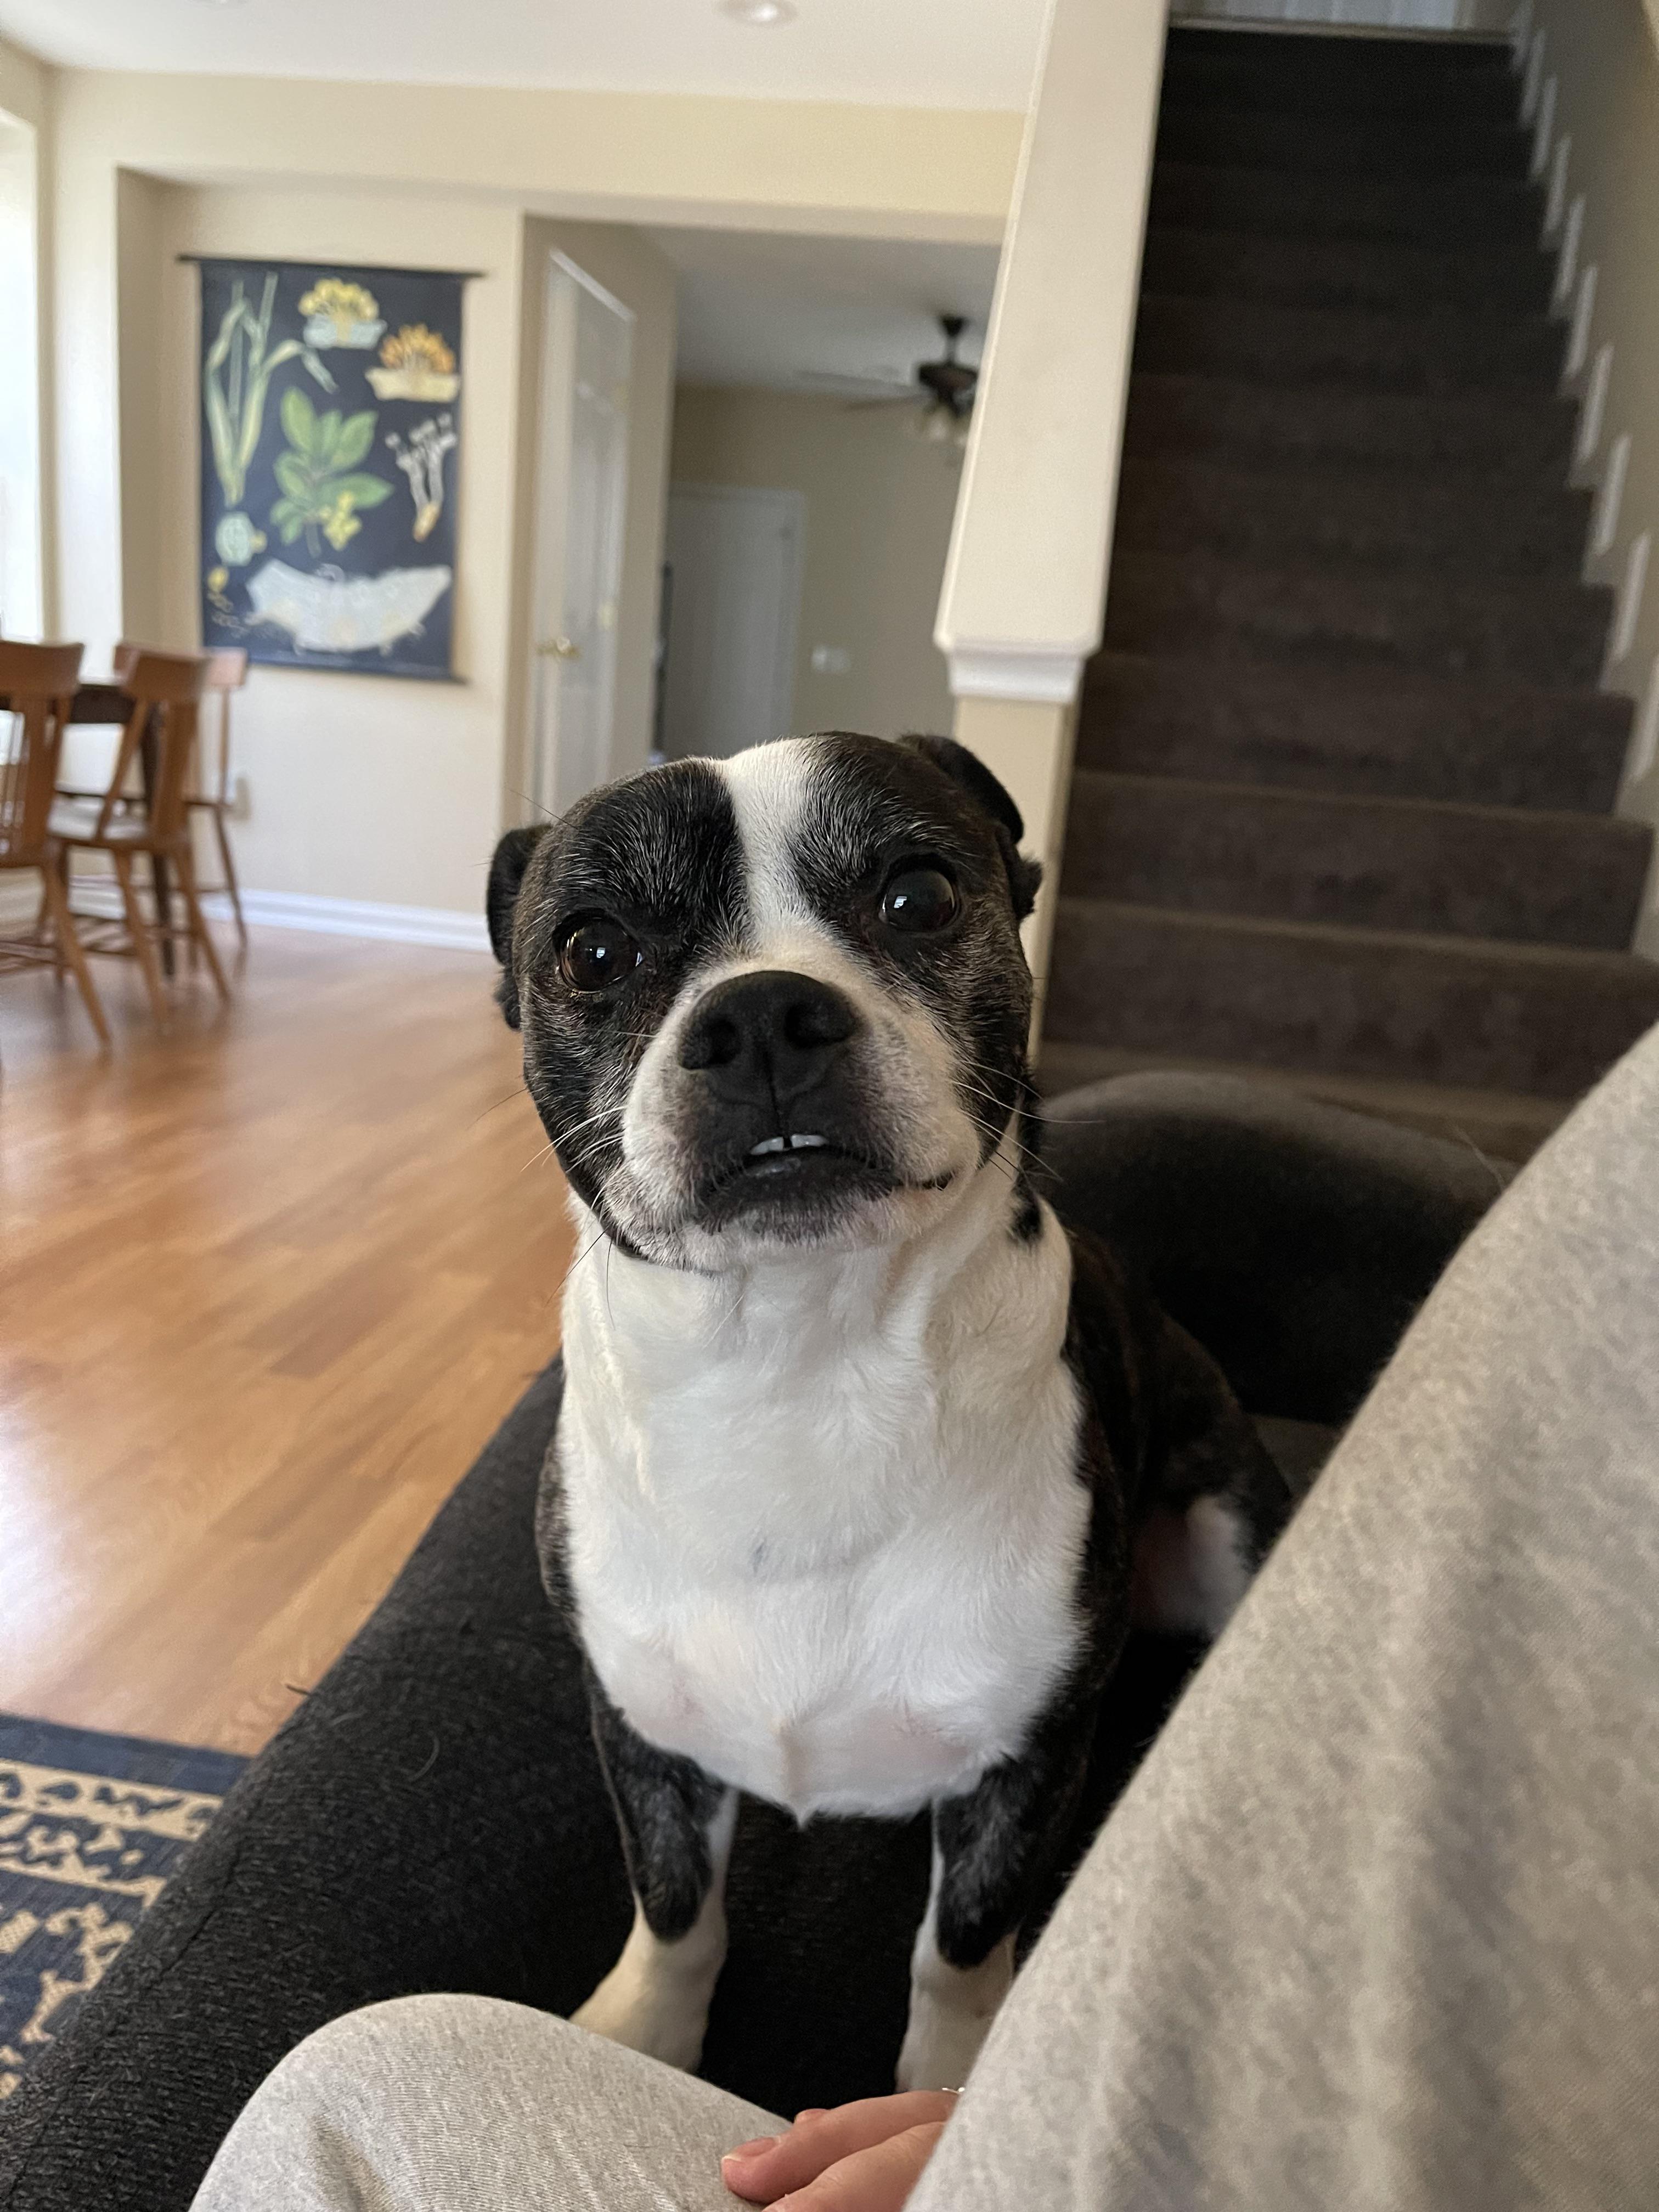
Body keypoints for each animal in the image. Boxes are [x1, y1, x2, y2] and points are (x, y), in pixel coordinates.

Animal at [486, 731, 1290, 2091]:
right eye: (592, 951)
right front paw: (642, 2034)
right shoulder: (641, 1728)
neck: (802, 1362)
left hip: (1225, 1534)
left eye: (919, 896)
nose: (760, 1015)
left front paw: (945, 2091)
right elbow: (675, 1908)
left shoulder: (1025, 1762)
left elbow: (958, 1954)